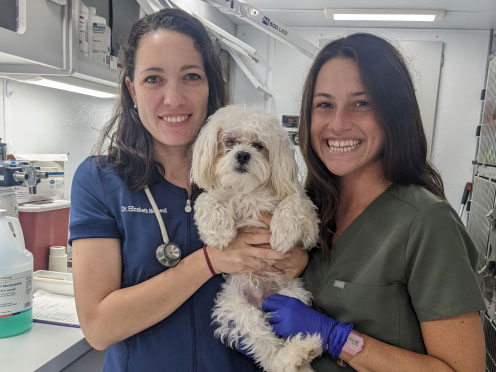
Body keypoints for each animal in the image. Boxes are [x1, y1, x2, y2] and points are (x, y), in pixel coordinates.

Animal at [190, 105, 322, 372]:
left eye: (259, 145)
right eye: (229, 141)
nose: (242, 155)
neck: (247, 191)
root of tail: (262, 302)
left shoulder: (309, 225)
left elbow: (295, 203)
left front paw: (282, 235)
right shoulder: (217, 197)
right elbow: (207, 199)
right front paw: (220, 233)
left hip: (292, 296)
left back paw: (302, 349)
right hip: (238, 310)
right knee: (269, 352)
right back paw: (295, 355)